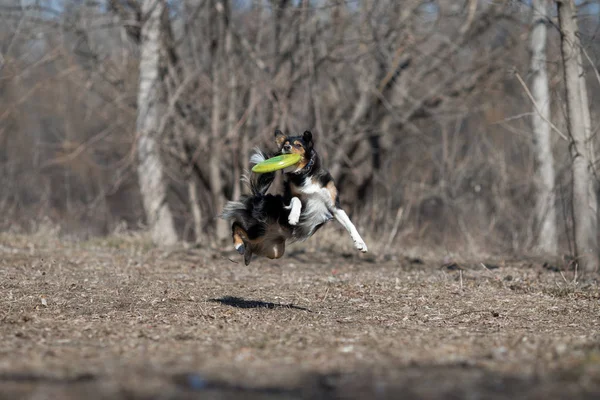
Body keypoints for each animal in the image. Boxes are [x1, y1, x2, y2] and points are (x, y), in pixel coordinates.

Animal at [223, 130, 368, 264]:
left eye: (298, 145)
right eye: (285, 144)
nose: (286, 147)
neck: (305, 174)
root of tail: (259, 196)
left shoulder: (334, 205)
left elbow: (350, 224)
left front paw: (361, 244)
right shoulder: (288, 199)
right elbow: (296, 200)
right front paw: (293, 217)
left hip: (273, 249)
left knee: (250, 242)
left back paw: (247, 254)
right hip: (258, 228)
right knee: (236, 225)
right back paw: (239, 245)